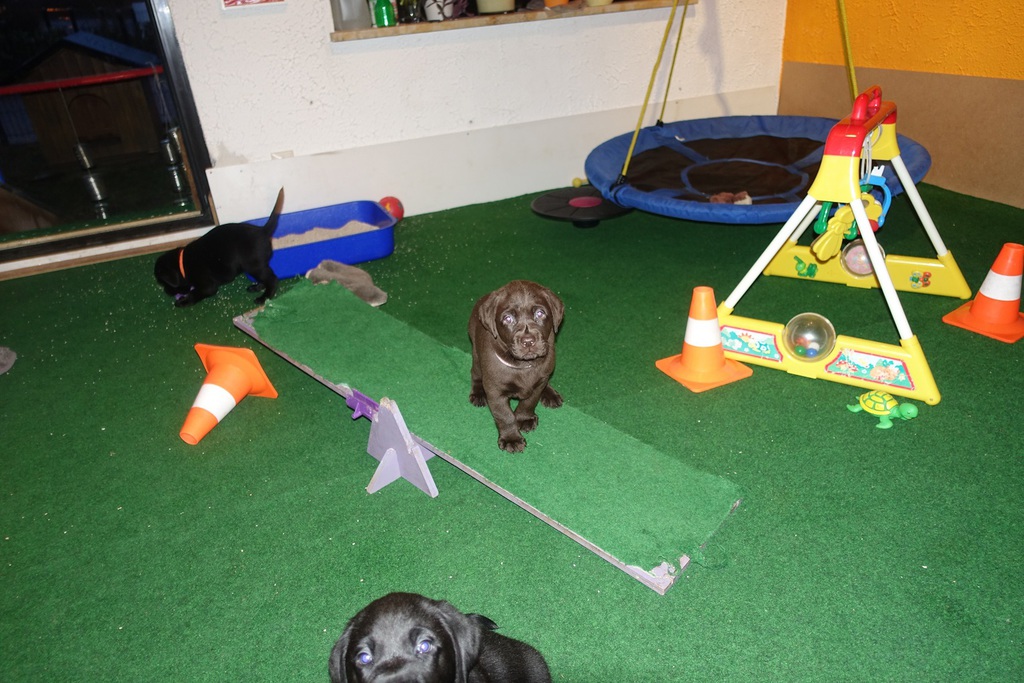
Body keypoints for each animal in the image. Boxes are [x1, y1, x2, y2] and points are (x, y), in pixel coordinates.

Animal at [154, 188, 284, 307]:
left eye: (163, 283)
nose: (166, 291)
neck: (183, 265)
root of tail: (263, 230)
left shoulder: (207, 286)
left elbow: (195, 294)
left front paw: (183, 301)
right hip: (257, 266)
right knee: (266, 277)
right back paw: (257, 287)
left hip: (253, 266)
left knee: (272, 279)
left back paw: (264, 297)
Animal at [468, 280, 564, 453]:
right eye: (508, 318)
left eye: (540, 313)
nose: (528, 341)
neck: (524, 365)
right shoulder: (495, 391)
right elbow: (505, 415)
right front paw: (511, 439)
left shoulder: (537, 384)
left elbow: (529, 402)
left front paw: (524, 419)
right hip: (477, 355)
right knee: (476, 374)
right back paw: (478, 393)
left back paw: (551, 394)